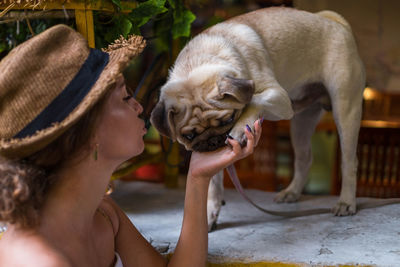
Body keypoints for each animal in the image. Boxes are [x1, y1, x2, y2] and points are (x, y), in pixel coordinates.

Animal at [150, 7, 366, 231]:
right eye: (189, 136)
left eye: (229, 119)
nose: (213, 140)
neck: (200, 60)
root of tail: (336, 23)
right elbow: (214, 184)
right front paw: (210, 213)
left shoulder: (279, 96)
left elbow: (254, 100)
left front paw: (239, 129)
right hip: (301, 122)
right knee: (304, 158)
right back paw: (292, 192)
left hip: (345, 109)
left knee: (349, 161)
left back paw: (346, 202)